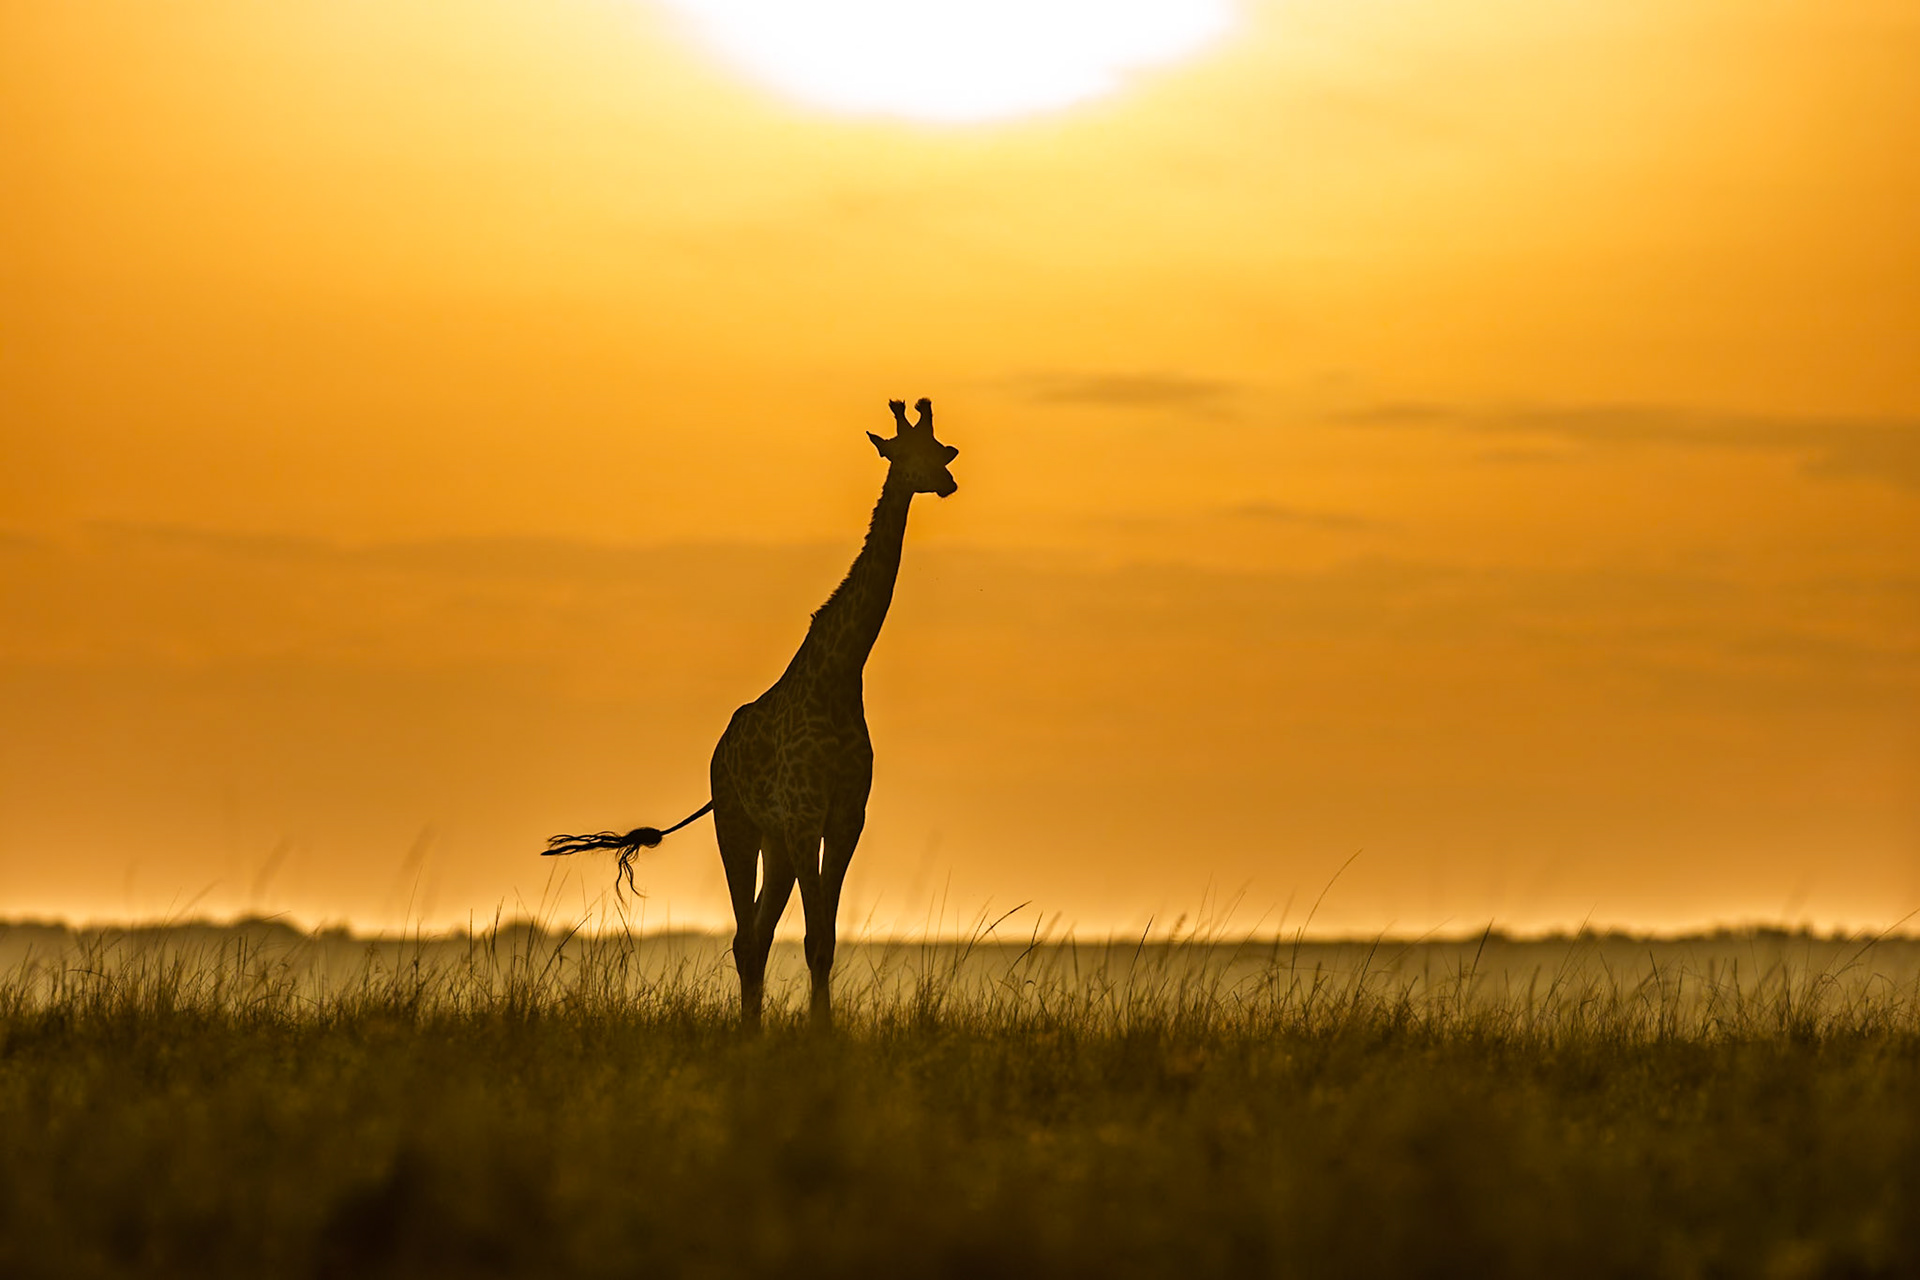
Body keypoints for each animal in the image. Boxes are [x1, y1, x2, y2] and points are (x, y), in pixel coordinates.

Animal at [545, 397, 958, 1028]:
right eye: (906, 452)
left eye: (939, 449)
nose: (948, 481)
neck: (840, 675)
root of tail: (717, 756)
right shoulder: (806, 815)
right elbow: (814, 937)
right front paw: (819, 1032)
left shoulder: (845, 817)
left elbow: (823, 935)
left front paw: (820, 1030)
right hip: (737, 825)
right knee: (745, 935)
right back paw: (747, 1029)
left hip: (775, 841)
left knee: (757, 934)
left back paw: (753, 1027)